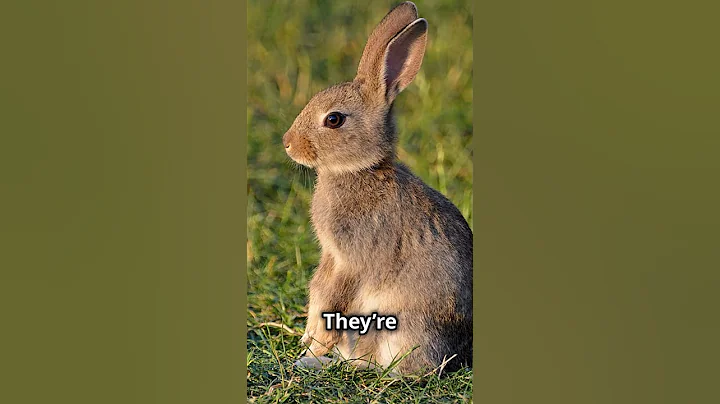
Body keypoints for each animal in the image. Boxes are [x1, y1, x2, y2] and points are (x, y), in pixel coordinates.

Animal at [283, 1, 472, 375]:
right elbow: (318, 290)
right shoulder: (331, 257)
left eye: (334, 119)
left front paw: (315, 344)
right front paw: (308, 340)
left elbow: (334, 297)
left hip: (400, 328)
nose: (288, 143)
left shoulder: (351, 260)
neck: (359, 170)